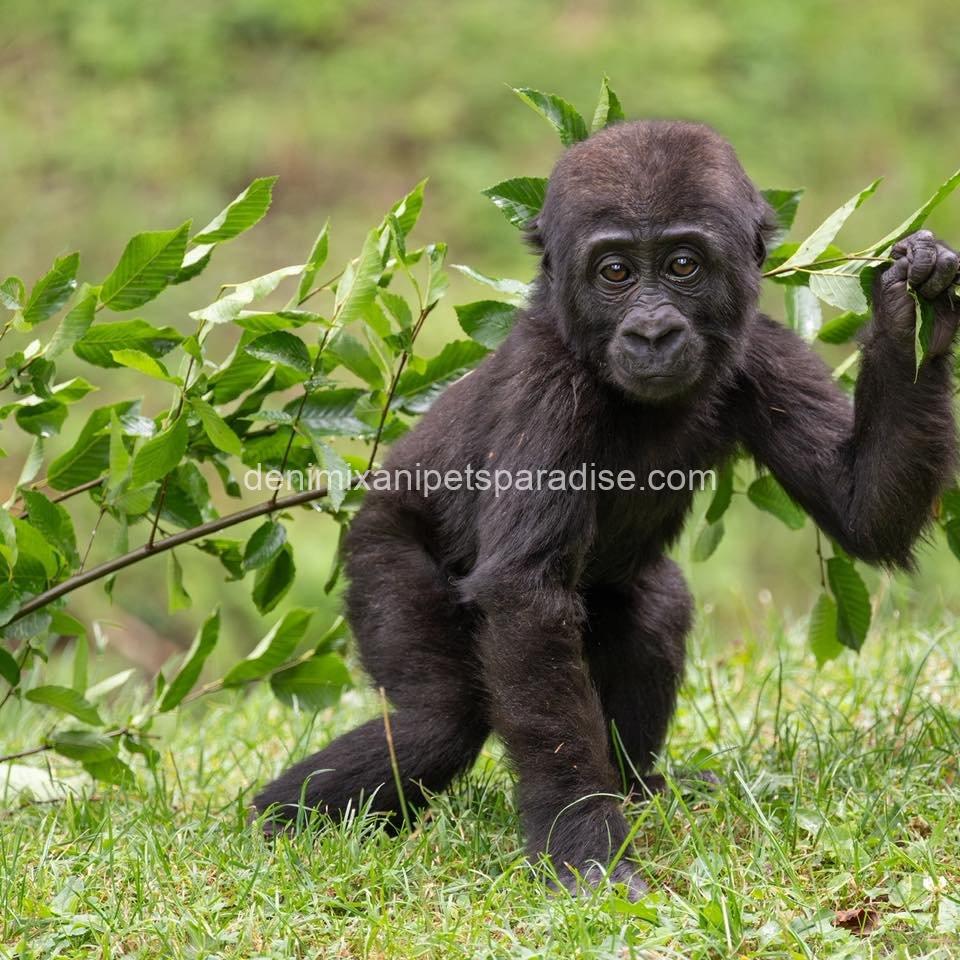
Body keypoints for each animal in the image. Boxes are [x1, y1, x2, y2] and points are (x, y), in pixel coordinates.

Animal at [252, 120, 959, 898]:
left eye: (682, 265)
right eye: (615, 274)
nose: (651, 334)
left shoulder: (760, 348)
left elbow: (863, 508)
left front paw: (911, 313)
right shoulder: (547, 388)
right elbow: (524, 598)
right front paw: (583, 846)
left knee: (653, 610)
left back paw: (638, 786)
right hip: (379, 545)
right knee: (436, 718)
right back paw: (276, 821)